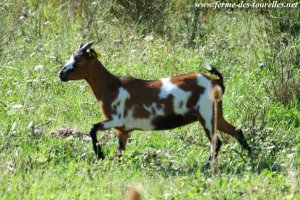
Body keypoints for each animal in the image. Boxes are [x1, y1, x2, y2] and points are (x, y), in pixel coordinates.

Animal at [58, 41, 251, 164]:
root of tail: (216, 81)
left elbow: (92, 128)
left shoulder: (115, 119)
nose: (61, 74)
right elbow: (120, 152)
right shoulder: (122, 130)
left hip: (206, 114)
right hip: (215, 113)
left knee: (216, 141)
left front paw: (100, 155)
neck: (111, 86)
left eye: (78, 60)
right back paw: (251, 156)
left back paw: (206, 166)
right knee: (237, 131)